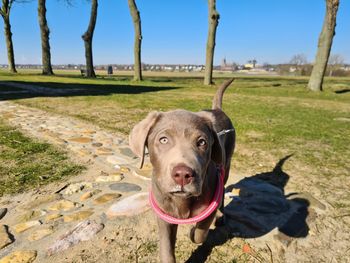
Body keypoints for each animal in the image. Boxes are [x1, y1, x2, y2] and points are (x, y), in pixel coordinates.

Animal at [129, 79, 235, 263]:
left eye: (202, 142)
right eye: (163, 140)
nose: (183, 175)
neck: (182, 201)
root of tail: (217, 110)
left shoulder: (211, 203)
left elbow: (201, 231)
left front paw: (194, 233)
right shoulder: (164, 216)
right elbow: (166, 248)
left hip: (226, 164)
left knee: (222, 192)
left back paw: (221, 217)